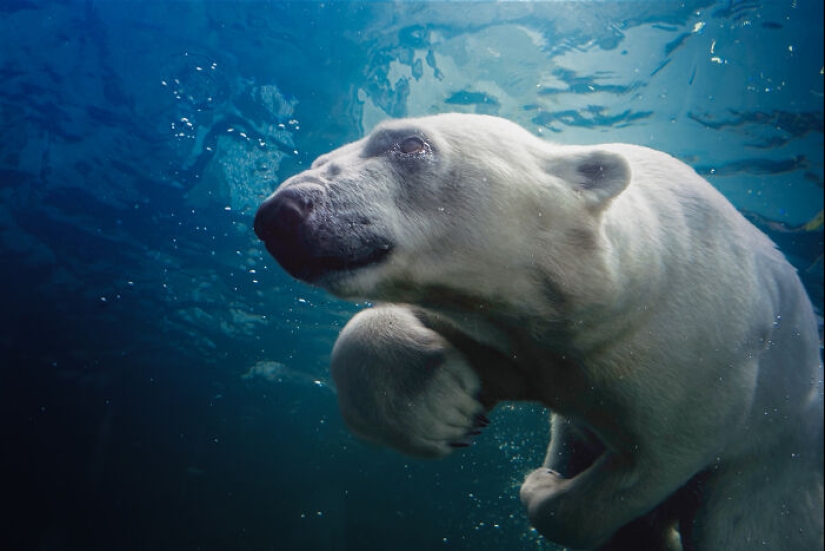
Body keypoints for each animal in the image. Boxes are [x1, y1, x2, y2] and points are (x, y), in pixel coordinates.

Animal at [253, 113, 824, 550]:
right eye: (321, 160)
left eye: (410, 144)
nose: (279, 212)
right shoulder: (522, 344)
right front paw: (444, 408)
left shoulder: (693, 361)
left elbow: (648, 465)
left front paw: (541, 484)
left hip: (777, 459)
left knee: (747, 527)